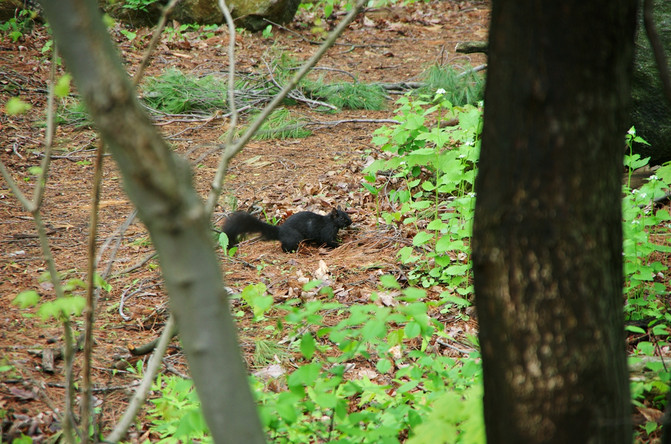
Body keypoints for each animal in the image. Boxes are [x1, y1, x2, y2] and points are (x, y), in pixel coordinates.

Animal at [223, 207, 354, 251]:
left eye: (347, 214)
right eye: (342, 218)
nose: (351, 221)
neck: (331, 222)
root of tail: (280, 231)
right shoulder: (327, 231)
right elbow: (328, 240)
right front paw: (339, 245)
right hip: (295, 237)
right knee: (285, 246)